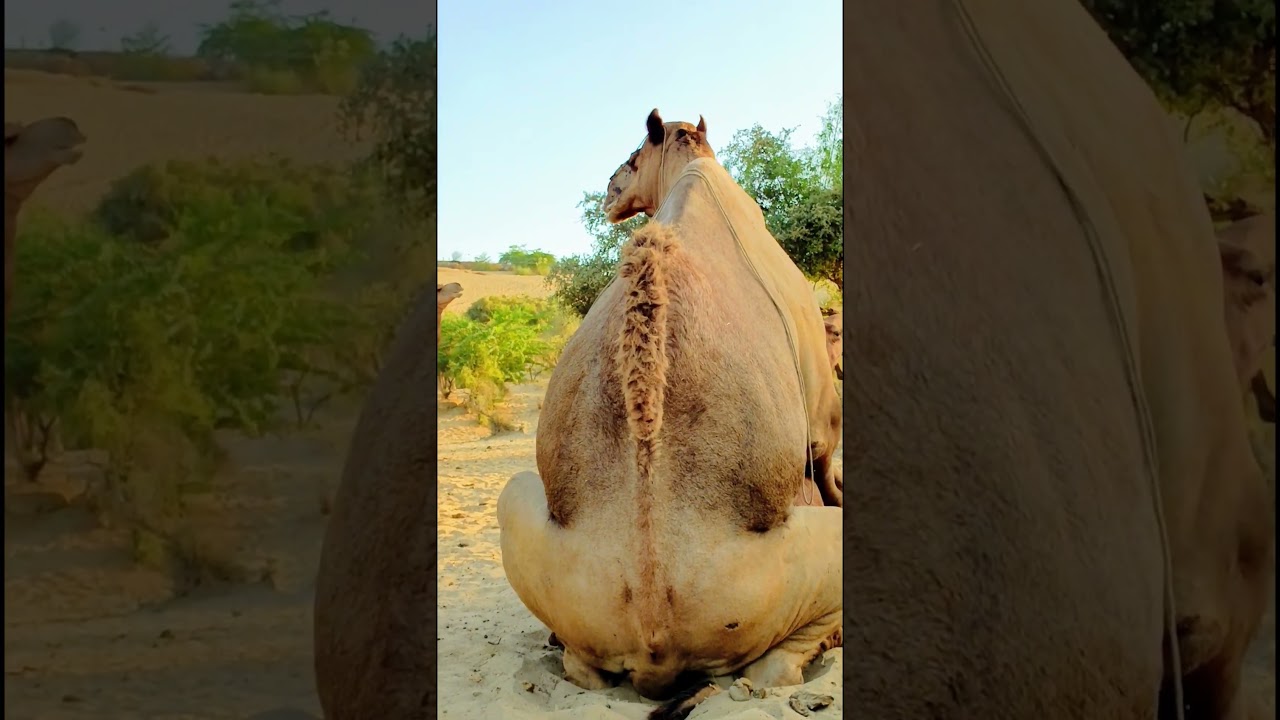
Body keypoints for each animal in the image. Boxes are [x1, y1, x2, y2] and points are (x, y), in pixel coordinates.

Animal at [496, 110, 842, 717]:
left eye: (633, 157)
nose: (609, 190)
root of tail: (652, 631)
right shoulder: (823, 415)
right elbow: (826, 463)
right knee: (773, 666)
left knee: (580, 666)